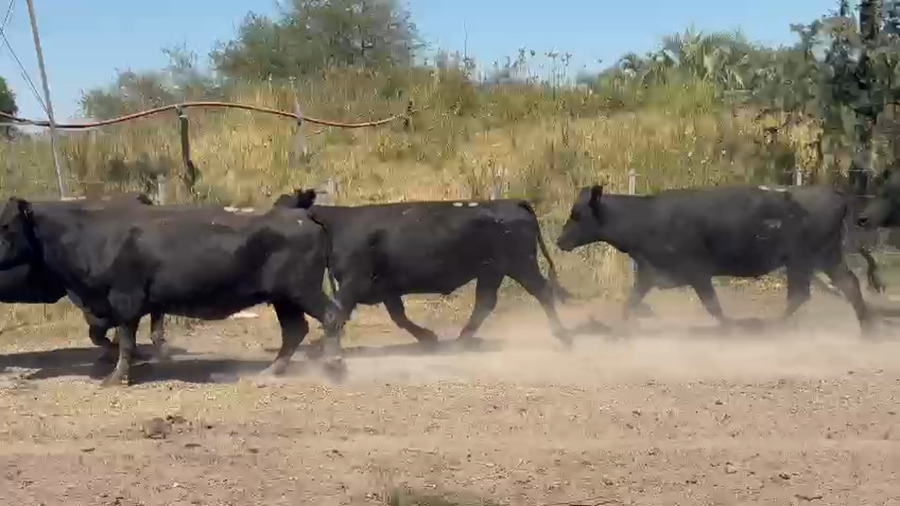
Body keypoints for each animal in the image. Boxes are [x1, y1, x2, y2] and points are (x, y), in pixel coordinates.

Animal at [0, 197, 335, 386]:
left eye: (6, 226)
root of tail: (303, 215)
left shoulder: (125, 299)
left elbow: (124, 341)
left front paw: (116, 377)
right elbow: (108, 337)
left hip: (302, 291)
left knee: (330, 316)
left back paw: (334, 366)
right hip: (284, 298)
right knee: (295, 330)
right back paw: (272, 371)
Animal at [272, 188, 572, 358]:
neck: (336, 225)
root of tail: (513, 202)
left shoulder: (353, 283)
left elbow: (337, 314)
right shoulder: (387, 288)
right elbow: (399, 317)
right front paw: (428, 338)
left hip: (520, 264)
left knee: (543, 292)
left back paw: (563, 336)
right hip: (492, 271)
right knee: (485, 303)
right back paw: (461, 341)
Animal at [555, 184, 875, 335]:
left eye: (577, 214)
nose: (559, 241)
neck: (647, 218)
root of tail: (833, 192)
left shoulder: (697, 272)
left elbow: (713, 307)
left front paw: (730, 328)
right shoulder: (649, 272)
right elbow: (630, 303)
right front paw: (618, 331)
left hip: (802, 260)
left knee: (801, 295)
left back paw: (767, 327)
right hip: (824, 258)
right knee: (848, 284)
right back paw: (867, 329)